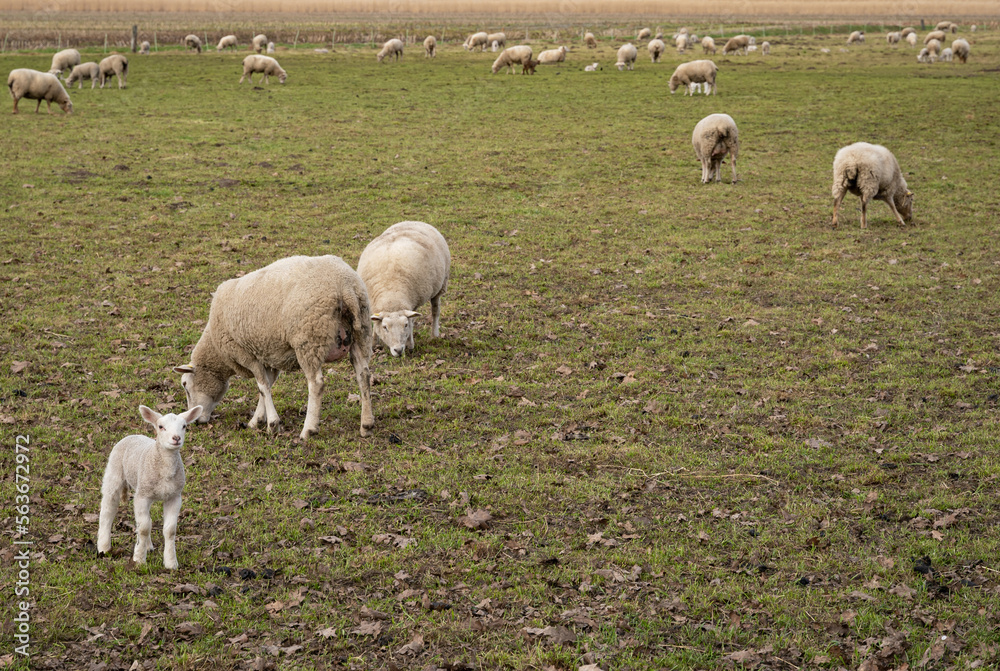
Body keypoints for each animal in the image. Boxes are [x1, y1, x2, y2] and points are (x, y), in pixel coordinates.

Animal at [96, 405, 203, 569]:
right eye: (161, 427)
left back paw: (147, 546)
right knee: (108, 510)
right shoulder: (142, 496)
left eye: (184, 426)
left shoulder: (174, 496)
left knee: (146, 520)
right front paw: (139, 559)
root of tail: (132, 435)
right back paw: (104, 547)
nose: (176, 438)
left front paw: (171, 562)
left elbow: (169, 530)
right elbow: (144, 528)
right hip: (114, 472)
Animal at [173, 255, 374, 440]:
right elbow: (267, 387)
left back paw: (308, 429)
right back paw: (366, 425)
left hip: (309, 338)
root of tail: (345, 285)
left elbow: (262, 387)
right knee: (363, 375)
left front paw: (272, 424)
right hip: (361, 333)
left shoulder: (246, 354)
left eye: (185, 385)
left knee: (316, 383)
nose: (194, 422)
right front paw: (257, 420)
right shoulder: (268, 355)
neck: (216, 349)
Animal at [357, 221, 451, 358]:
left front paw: (410, 344)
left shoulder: (412, 304)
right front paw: (373, 344)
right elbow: (374, 323)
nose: (398, 350)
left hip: (440, 286)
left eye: (404, 325)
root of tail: (415, 221)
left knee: (435, 311)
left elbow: (412, 323)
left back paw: (434, 334)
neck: (391, 295)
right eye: (385, 327)